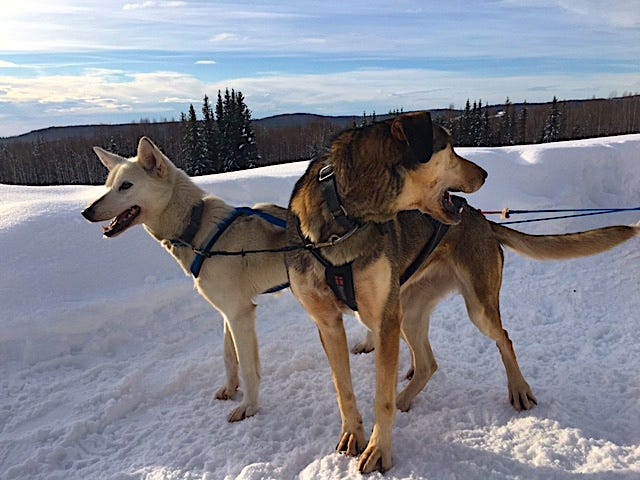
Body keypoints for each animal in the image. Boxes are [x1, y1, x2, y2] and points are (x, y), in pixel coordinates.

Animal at [284, 111, 484, 472]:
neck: (344, 219)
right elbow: (343, 388)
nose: (485, 174)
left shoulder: (386, 318)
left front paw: (379, 450)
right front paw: (353, 434)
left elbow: (383, 399)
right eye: (449, 147)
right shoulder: (327, 323)